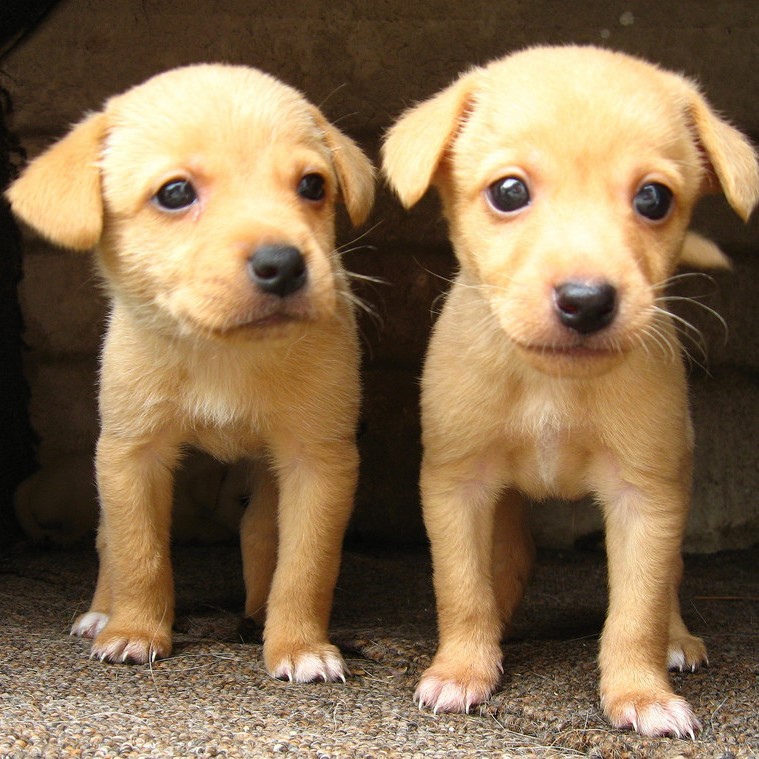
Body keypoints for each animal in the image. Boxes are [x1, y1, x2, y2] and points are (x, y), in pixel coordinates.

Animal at [5, 65, 374, 684]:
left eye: (312, 186)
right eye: (175, 193)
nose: (284, 265)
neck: (223, 354)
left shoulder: (317, 461)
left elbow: (304, 565)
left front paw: (298, 643)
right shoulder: (132, 454)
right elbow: (139, 553)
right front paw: (134, 631)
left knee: (260, 537)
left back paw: (257, 614)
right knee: (108, 541)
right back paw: (102, 614)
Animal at [382, 46, 759, 736]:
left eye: (654, 198)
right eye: (509, 192)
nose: (587, 301)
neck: (551, 387)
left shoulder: (646, 498)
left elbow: (636, 611)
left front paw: (641, 692)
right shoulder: (457, 486)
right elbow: (463, 588)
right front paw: (462, 669)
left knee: (668, 584)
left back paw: (678, 640)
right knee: (507, 563)